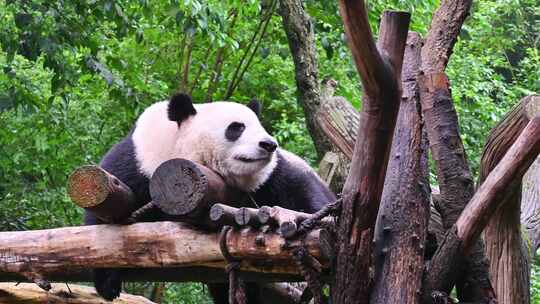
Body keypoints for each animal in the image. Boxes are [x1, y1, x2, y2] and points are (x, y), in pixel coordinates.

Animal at [85, 94, 336, 302]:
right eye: (236, 128)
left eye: (260, 126)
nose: (269, 144)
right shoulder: (140, 163)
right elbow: (106, 222)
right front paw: (107, 283)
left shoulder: (272, 175)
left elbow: (301, 191)